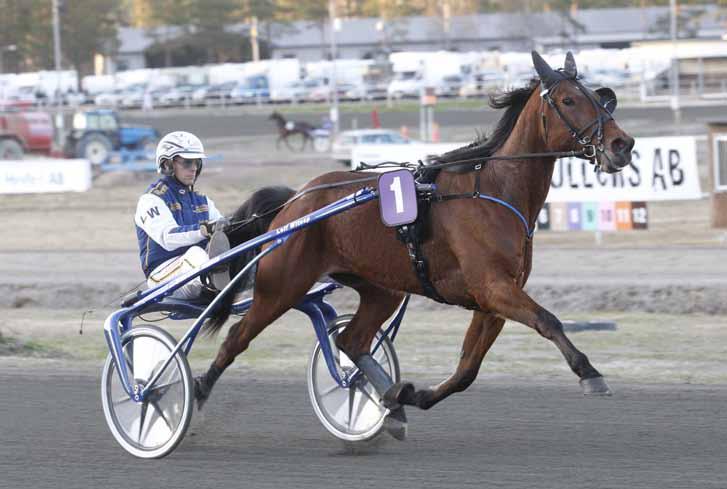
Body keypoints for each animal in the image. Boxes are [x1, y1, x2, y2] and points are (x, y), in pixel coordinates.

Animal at [196, 51, 636, 436]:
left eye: (599, 97)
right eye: (568, 100)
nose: (623, 145)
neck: (494, 190)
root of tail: (295, 200)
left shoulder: (493, 300)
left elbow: (466, 370)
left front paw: (411, 395)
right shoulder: (493, 288)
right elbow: (548, 320)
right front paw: (590, 373)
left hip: (380, 288)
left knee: (351, 339)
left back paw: (390, 404)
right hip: (281, 286)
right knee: (237, 337)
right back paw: (195, 392)